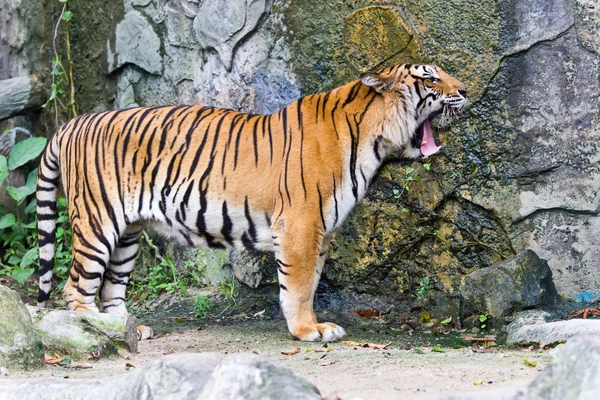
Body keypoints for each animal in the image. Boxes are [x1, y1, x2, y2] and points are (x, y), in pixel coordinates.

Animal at [36, 64, 468, 342]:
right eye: (429, 76)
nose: (465, 90)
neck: (372, 140)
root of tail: (71, 123)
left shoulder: (322, 230)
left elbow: (310, 282)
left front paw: (310, 325)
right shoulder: (301, 224)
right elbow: (298, 285)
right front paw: (308, 330)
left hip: (127, 233)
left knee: (112, 288)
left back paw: (130, 329)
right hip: (97, 222)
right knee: (76, 288)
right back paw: (96, 331)